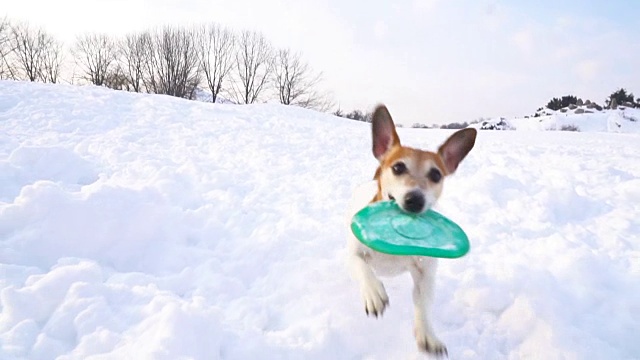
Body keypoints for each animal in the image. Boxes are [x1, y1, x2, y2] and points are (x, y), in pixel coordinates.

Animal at [344, 105, 476, 358]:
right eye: (398, 167)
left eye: (436, 175)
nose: (415, 199)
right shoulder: (353, 252)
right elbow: (361, 266)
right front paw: (374, 293)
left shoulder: (425, 273)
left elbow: (422, 303)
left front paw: (428, 335)